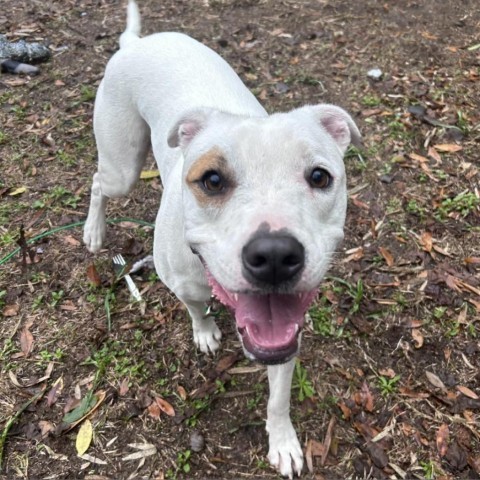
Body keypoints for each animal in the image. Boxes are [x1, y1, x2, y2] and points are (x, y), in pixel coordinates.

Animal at [83, 2, 360, 476]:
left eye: (320, 177)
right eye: (211, 180)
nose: (274, 255)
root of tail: (137, 44)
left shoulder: (284, 338)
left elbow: (278, 398)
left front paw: (282, 441)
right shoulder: (182, 281)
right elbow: (196, 307)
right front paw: (206, 331)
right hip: (122, 164)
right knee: (101, 183)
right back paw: (94, 232)